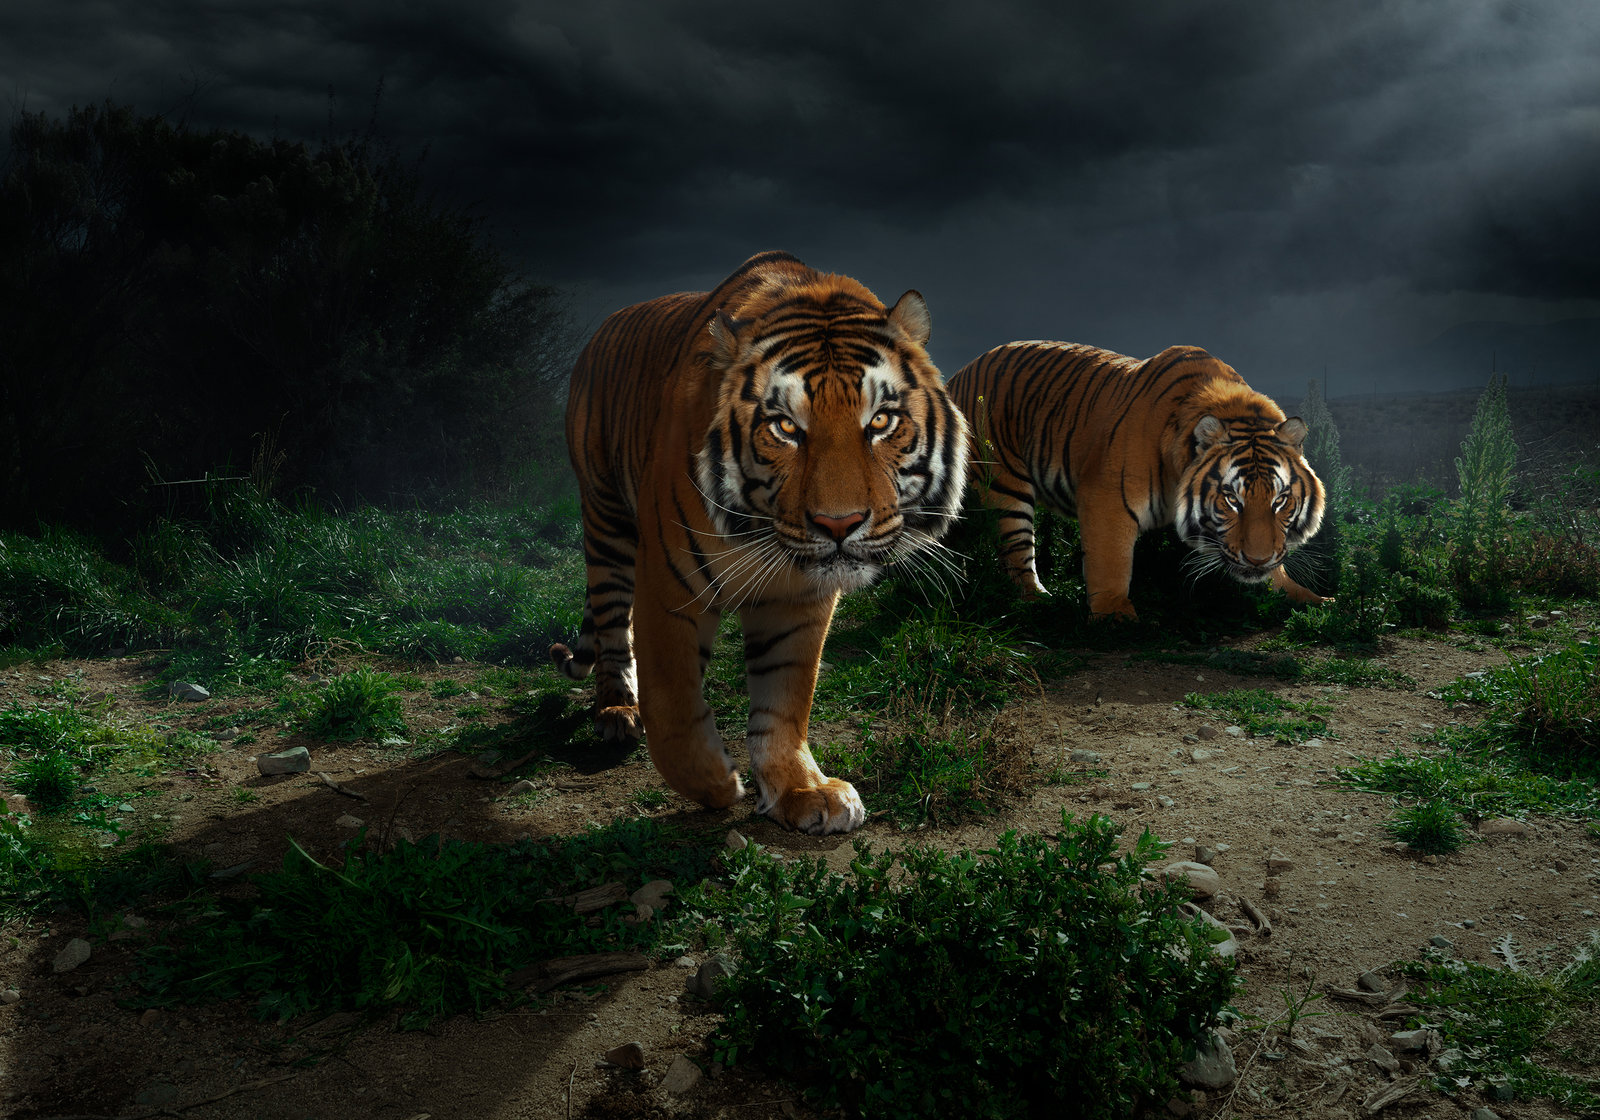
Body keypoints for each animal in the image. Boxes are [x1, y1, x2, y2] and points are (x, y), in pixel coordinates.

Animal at [549, 250, 969, 834]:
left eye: (881, 421)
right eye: (785, 428)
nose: (839, 524)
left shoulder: (797, 601)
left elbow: (785, 699)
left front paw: (802, 790)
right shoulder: (668, 588)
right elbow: (673, 702)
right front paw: (716, 784)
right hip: (606, 520)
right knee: (613, 626)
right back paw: (617, 710)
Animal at [947, 341, 1326, 620]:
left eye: (1279, 500)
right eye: (1232, 499)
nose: (1258, 560)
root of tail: (957, 374)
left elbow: (1279, 567)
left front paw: (1310, 598)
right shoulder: (1105, 498)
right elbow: (1111, 559)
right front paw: (1114, 613)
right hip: (1004, 486)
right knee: (1017, 553)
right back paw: (1040, 600)